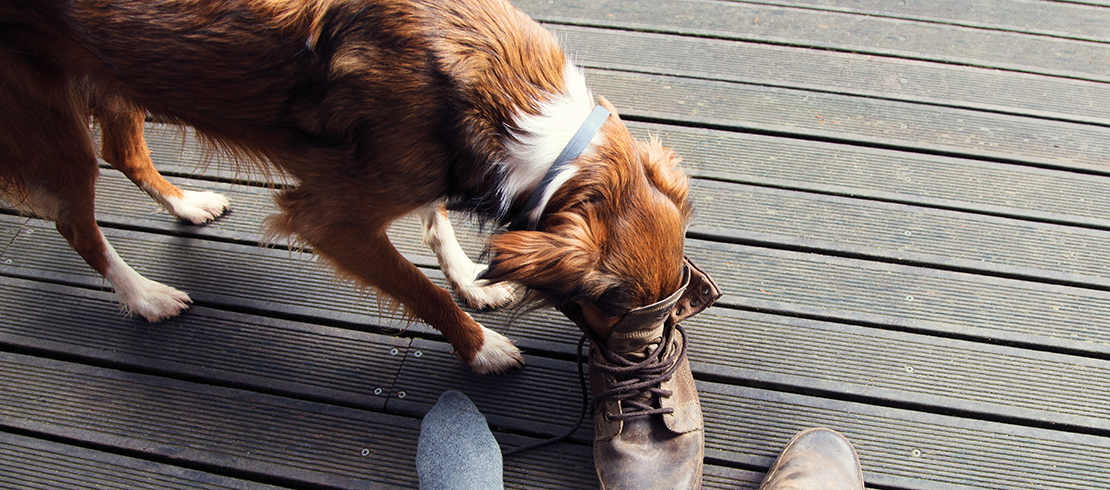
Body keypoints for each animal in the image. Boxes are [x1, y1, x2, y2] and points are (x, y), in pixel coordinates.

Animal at [2, 0, 692, 373]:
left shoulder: (423, 168)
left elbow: (437, 224)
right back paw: (144, 296)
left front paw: (473, 281)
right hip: (50, 119)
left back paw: (187, 203)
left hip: (116, 74)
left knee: (122, 151)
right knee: (75, 221)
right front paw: (481, 349)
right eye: (612, 305)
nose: (647, 369)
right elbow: (419, 289)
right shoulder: (330, 218)